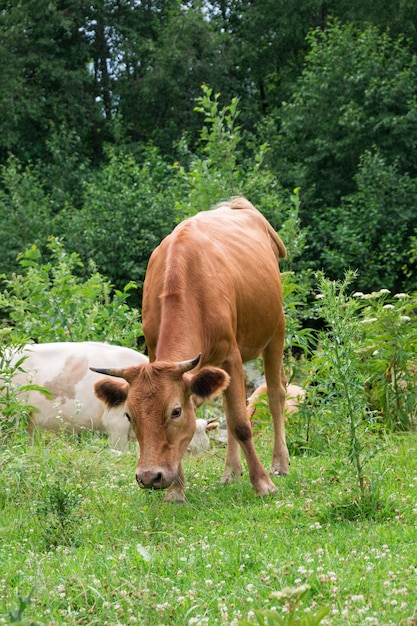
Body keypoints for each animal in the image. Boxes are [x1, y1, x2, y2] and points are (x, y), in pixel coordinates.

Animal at [91, 197, 288, 500]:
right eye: (128, 414)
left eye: (175, 412)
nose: (149, 476)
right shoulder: (157, 351)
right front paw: (176, 491)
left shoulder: (231, 355)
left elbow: (241, 423)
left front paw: (264, 484)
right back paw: (231, 471)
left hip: (276, 329)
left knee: (276, 394)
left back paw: (280, 463)